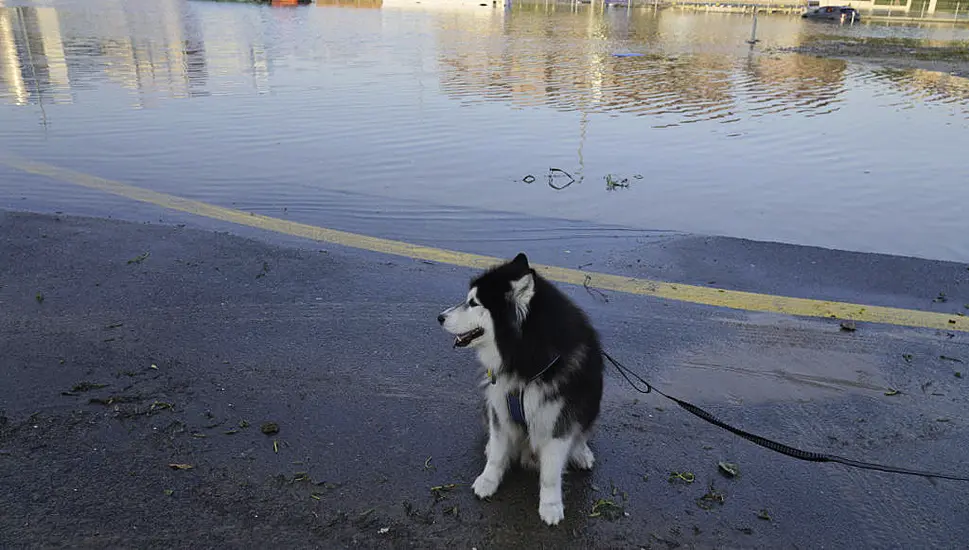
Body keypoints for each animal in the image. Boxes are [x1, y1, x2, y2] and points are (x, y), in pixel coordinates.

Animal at [436, 254, 600, 528]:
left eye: (473, 303)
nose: (439, 317)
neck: (526, 357)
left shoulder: (557, 420)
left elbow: (551, 473)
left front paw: (550, 506)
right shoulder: (500, 405)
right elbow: (497, 452)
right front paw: (488, 480)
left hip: (590, 405)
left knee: (581, 433)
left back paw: (581, 453)